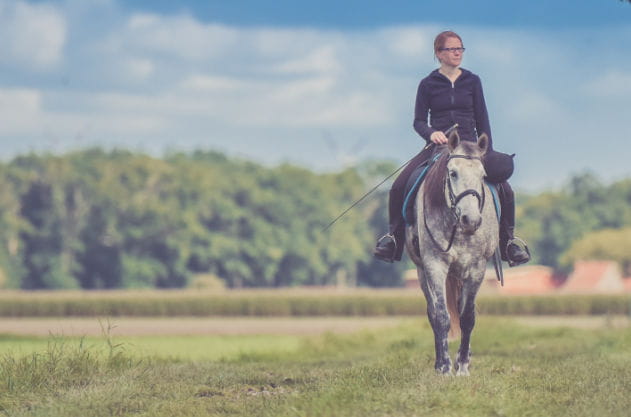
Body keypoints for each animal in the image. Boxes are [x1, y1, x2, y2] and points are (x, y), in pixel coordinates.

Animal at [408, 130, 502, 374]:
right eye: (453, 173)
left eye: (483, 175)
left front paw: (462, 366)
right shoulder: (434, 265)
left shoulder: (477, 268)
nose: (471, 220)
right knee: (433, 312)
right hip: (422, 272)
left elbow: (467, 317)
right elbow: (441, 315)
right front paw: (444, 367)